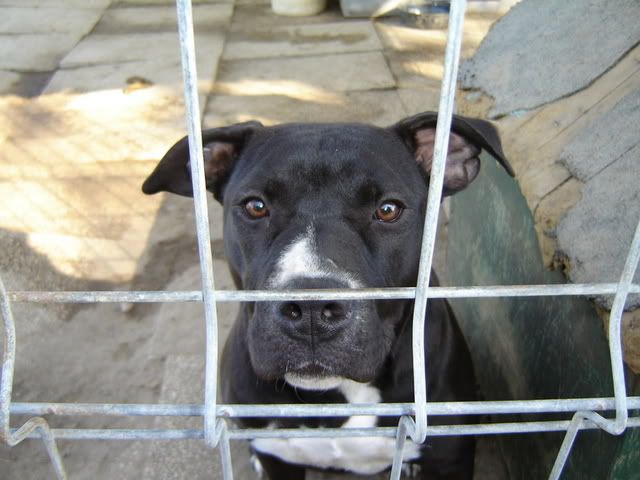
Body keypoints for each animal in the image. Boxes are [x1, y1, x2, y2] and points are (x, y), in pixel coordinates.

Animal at [142, 113, 512, 480]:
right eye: (256, 206)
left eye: (388, 209)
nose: (311, 310)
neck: (337, 396)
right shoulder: (278, 456)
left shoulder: (450, 457)